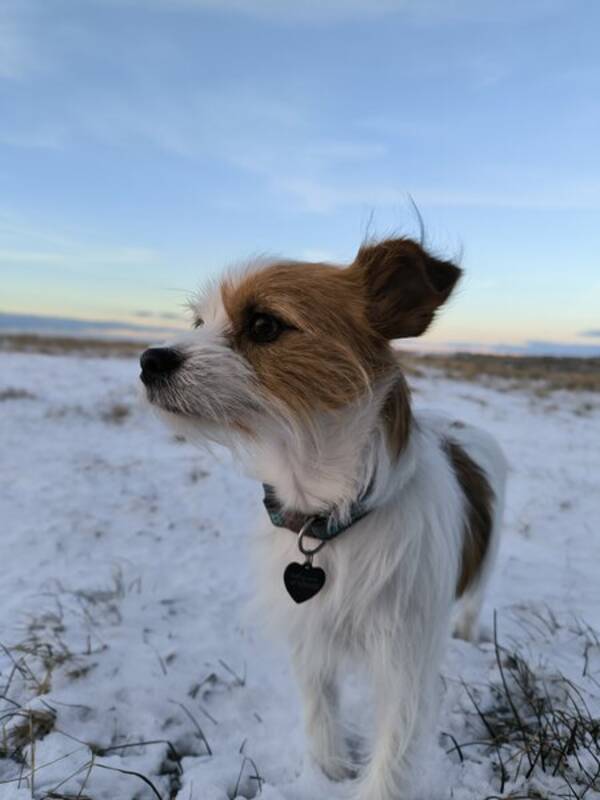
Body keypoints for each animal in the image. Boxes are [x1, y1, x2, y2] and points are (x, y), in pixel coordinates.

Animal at [139, 238, 506, 800]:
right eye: (200, 322)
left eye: (264, 325)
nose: (148, 360)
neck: (328, 516)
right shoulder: (310, 639)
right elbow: (320, 714)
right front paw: (328, 773)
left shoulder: (405, 661)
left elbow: (391, 756)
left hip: (483, 569)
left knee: (473, 603)